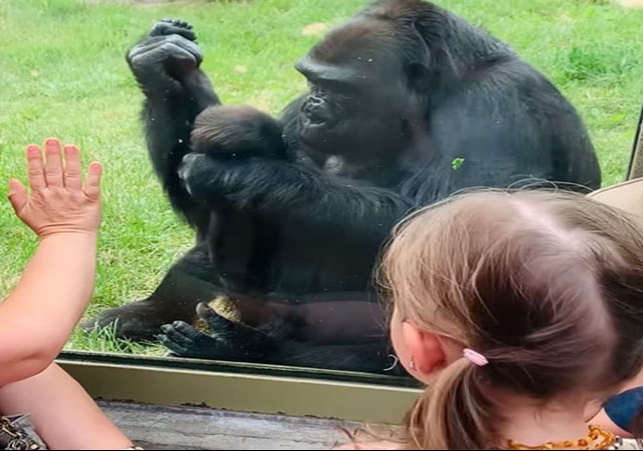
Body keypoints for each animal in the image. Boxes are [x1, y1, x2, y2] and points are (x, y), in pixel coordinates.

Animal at [83, 0, 600, 374]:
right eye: (310, 81)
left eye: (341, 89)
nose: (314, 107)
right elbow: (210, 201)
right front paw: (162, 69)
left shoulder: (497, 103)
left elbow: (457, 233)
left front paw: (244, 174)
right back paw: (155, 314)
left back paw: (258, 351)